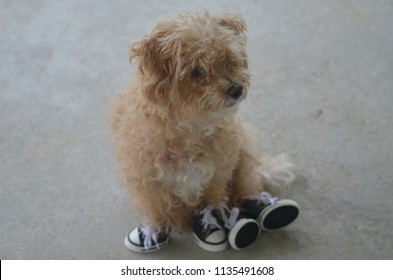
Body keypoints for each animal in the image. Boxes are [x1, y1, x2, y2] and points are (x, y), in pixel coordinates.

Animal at [107, 10, 298, 253]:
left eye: (227, 59)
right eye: (196, 71)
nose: (237, 89)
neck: (190, 127)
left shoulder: (219, 172)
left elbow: (213, 199)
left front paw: (211, 220)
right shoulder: (145, 179)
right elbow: (155, 207)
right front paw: (154, 229)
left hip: (244, 150)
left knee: (245, 188)